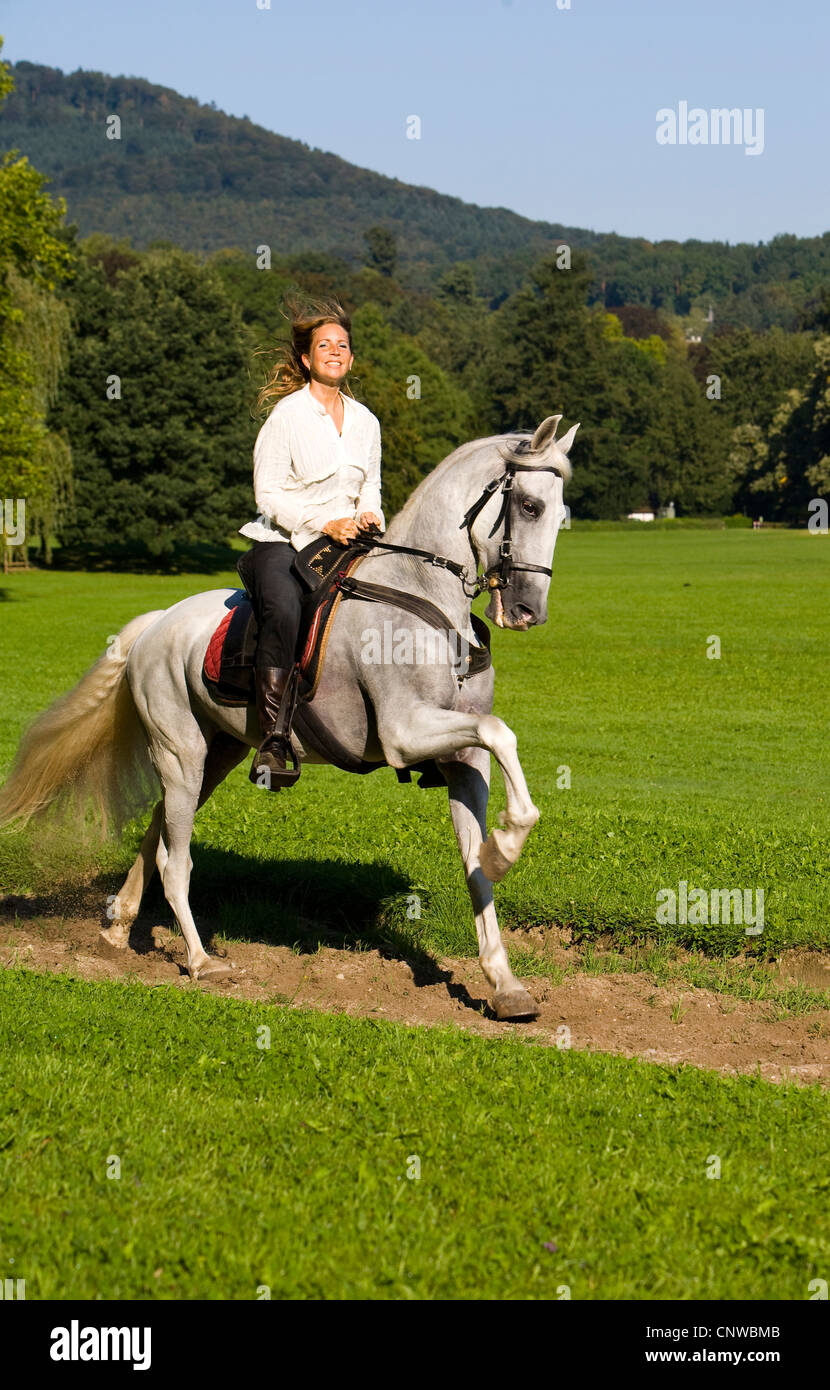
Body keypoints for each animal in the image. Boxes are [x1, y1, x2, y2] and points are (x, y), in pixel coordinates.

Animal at [0, 411, 575, 1023]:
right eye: (530, 507)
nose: (528, 612)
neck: (426, 602)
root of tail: (157, 623)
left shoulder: (460, 757)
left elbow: (475, 865)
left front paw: (504, 979)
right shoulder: (406, 732)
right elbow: (501, 735)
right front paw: (506, 848)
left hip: (216, 755)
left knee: (159, 835)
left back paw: (119, 925)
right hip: (181, 753)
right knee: (176, 860)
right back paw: (203, 961)